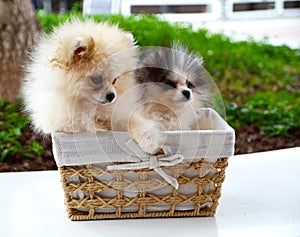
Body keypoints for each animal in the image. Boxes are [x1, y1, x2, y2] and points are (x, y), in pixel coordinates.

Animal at [22, 19, 159, 154]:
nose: (112, 96)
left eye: (114, 80)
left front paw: (149, 139)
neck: (88, 106)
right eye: (96, 79)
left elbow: (131, 120)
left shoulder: (118, 112)